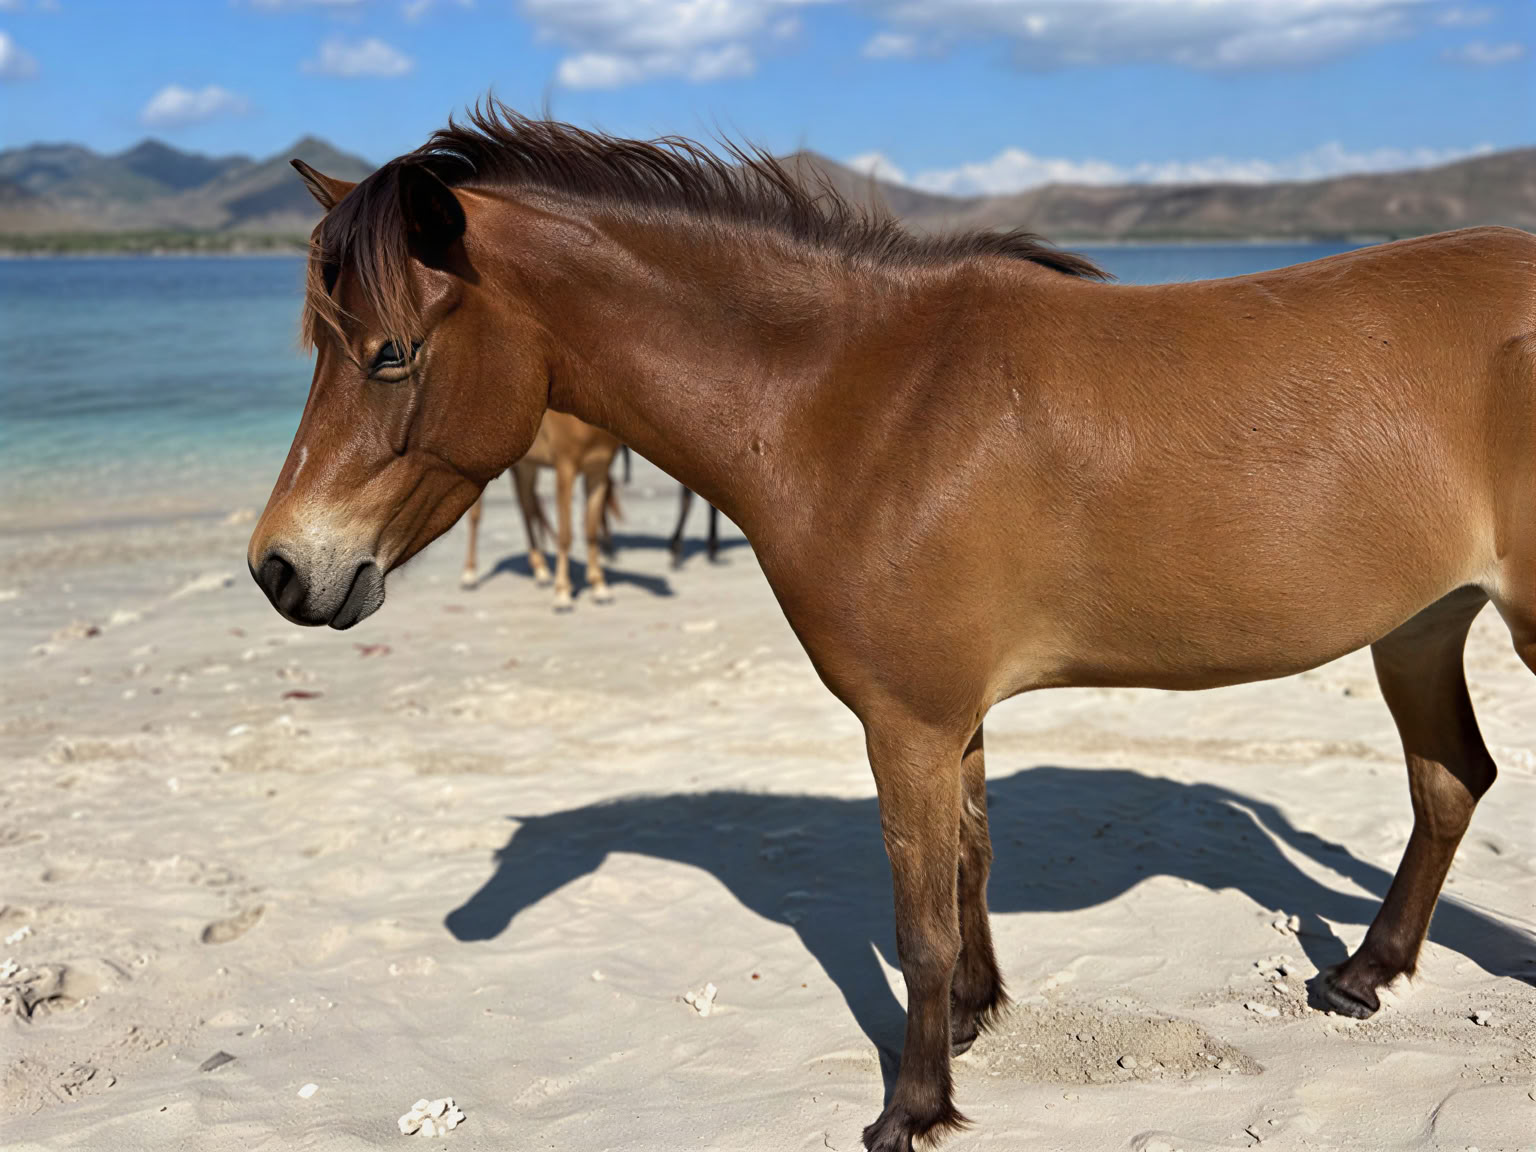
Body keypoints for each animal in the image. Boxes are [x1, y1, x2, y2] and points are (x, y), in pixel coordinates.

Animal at [461, 409, 620, 609]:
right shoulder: (565, 468)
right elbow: (565, 534)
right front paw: (562, 594)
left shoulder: (598, 471)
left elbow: (591, 531)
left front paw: (599, 587)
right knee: (476, 515)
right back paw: (469, 575)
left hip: (526, 465)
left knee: (526, 507)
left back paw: (541, 570)